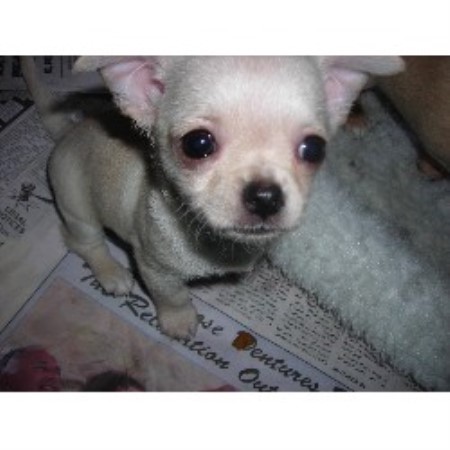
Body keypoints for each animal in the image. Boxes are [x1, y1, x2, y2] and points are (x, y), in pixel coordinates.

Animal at [22, 56, 404, 338]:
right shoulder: (155, 268)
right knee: (83, 242)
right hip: (76, 204)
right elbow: (173, 296)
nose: (265, 196)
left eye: (315, 149)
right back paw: (111, 273)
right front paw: (179, 322)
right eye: (198, 144)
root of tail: (67, 132)